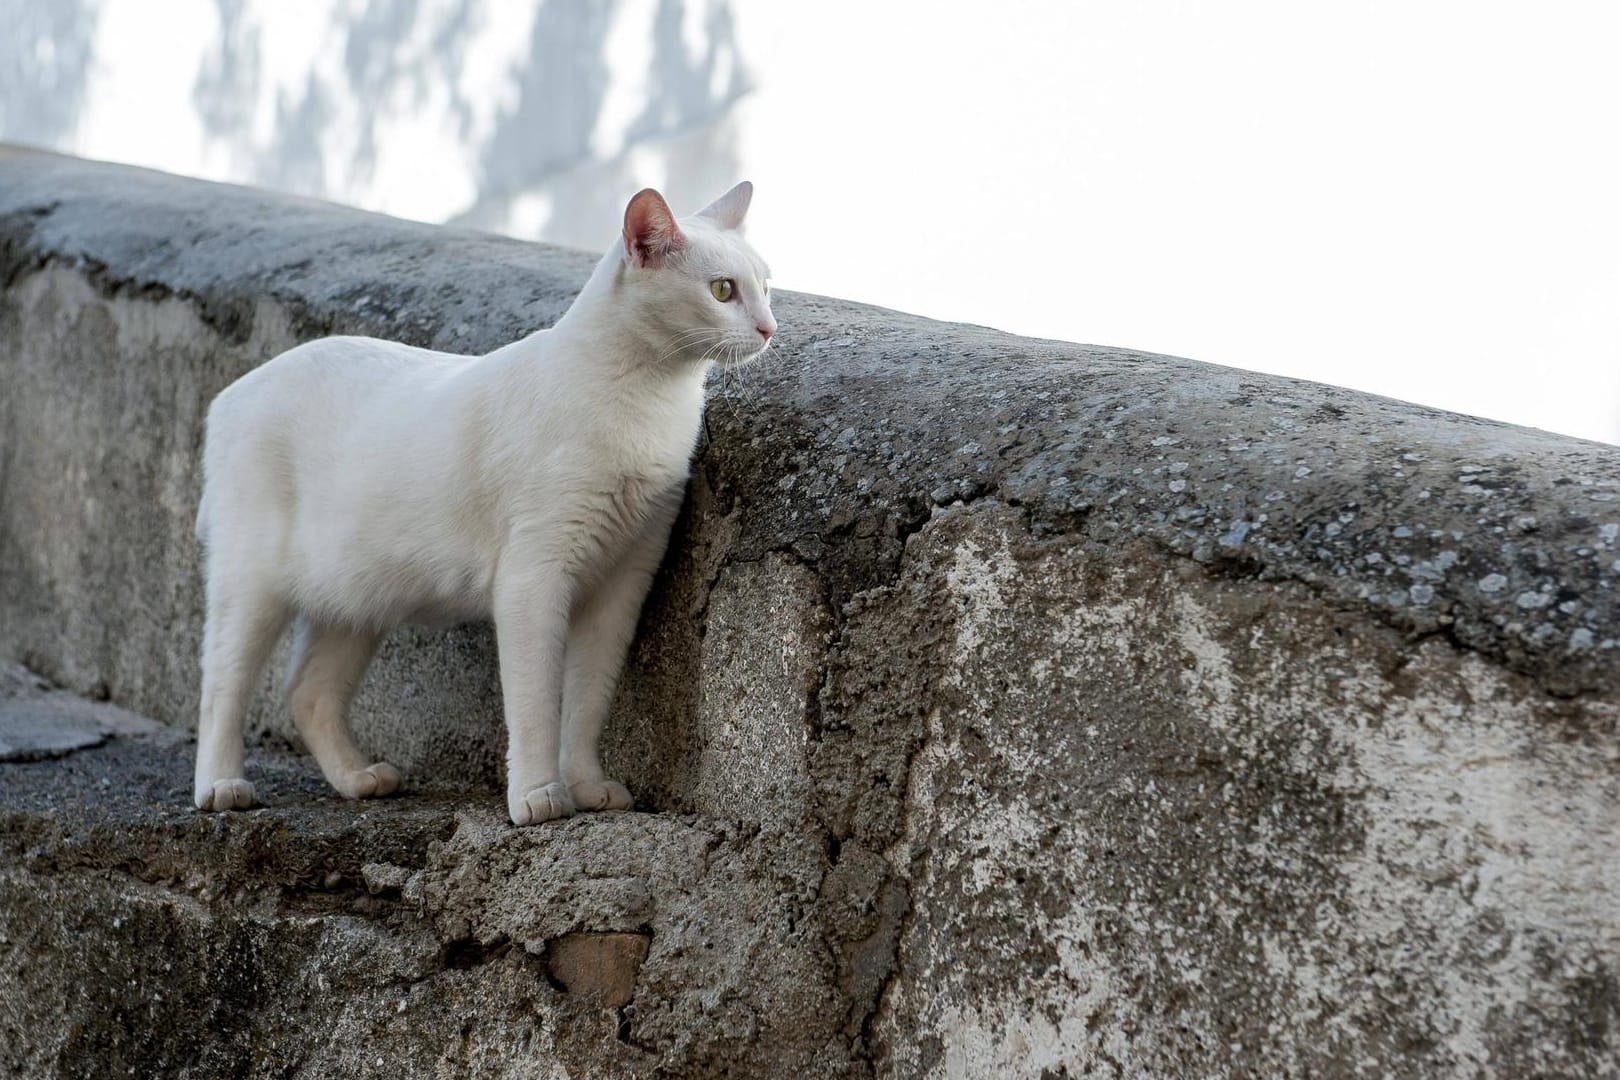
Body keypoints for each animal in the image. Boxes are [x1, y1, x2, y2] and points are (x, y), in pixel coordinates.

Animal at [189, 186, 771, 829]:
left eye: (766, 285)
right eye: (723, 290)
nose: (771, 328)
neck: (649, 402)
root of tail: (232, 392)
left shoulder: (623, 583)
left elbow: (588, 700)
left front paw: (587, 785)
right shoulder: (533, 579)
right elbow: (536, 703)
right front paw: (539, 796)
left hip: (357, 598)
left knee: (308, 694)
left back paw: (358, 779)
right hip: (251, 585)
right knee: (220, 686)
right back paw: (221, 786)